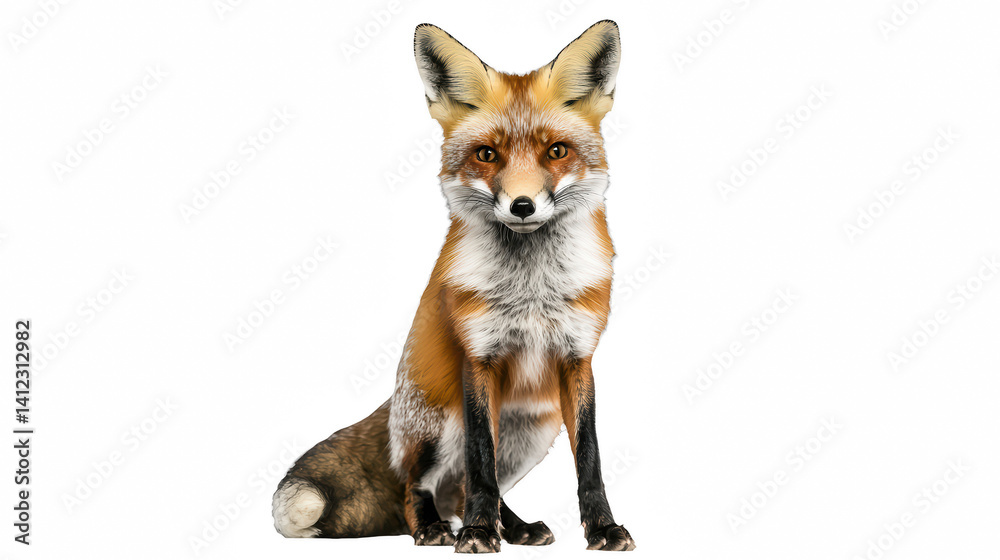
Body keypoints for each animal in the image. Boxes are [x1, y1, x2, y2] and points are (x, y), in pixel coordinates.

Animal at [272, 20, 635, 553]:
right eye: (487, 154)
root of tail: (395, 404)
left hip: (534, 430)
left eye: (556, 151)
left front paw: (603, 528)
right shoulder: (478, 359)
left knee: (464, 487)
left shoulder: (578, 357)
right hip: (443, 426)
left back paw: (515, 527)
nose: (522, 206)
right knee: (421, 484)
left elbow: (588, 458)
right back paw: (435, 527)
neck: (531, 291)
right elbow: (480, 463)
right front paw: (479, 533)